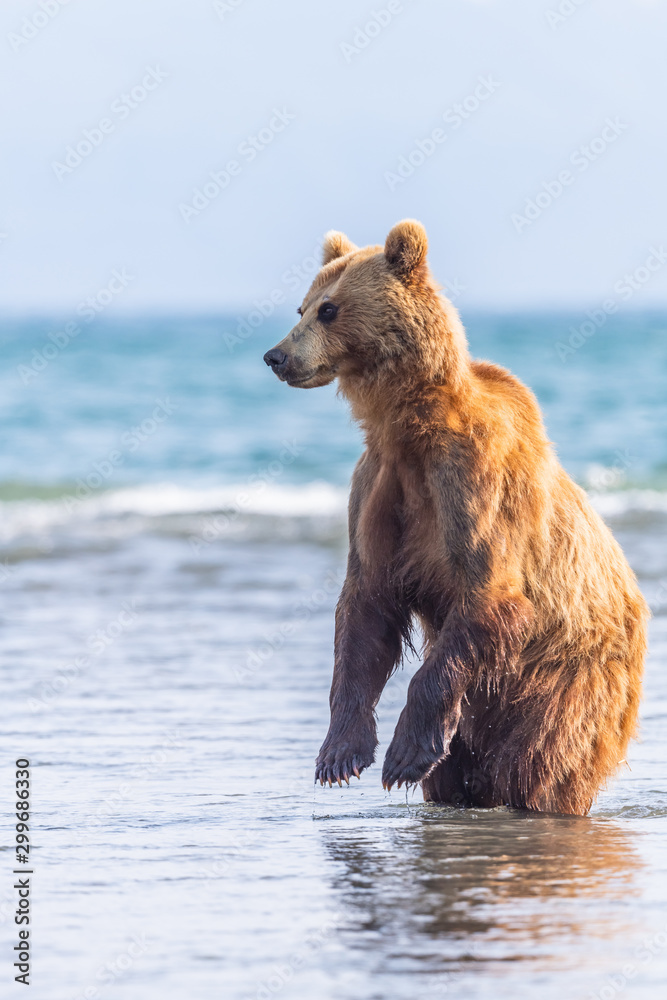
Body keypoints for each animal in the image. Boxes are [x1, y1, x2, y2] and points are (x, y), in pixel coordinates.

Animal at [263, 220, 649, 816]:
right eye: (300, 306)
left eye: (329, 309)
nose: (277, 356)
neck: (410, 427)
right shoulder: (377, 485)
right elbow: (366, 606)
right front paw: (340, 754)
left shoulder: (470, 480)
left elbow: (488, 596)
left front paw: (404, 755)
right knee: (461, 772)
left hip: (567, 675)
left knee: (540, 759)